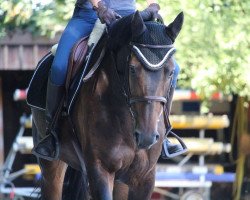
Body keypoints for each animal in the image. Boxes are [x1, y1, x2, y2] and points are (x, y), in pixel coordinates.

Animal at [30, 11, 185, 200]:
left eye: (171, 72)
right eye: (132, 68)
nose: (146, 137)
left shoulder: (144, 177)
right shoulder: (100, 171)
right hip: (51, 166)